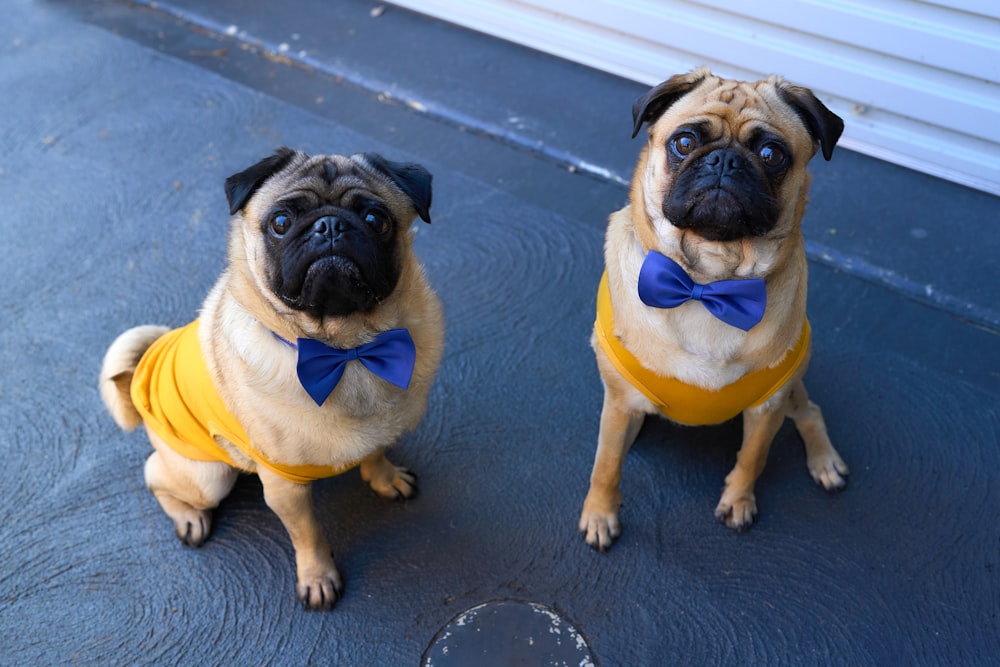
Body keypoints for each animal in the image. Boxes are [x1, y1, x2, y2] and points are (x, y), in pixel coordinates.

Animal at [100, 150, 442, 612]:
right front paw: (317, 578)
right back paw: (189, 518)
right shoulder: (284, 487)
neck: (345, 351)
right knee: (155, 474)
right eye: (280, 222)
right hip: (209, 478)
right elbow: (308, 534)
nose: (330, 225)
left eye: (376, 219)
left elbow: (375, 451)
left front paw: (384, 477)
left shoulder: (382, 426)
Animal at [580, 68, 852, 552]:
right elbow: (606, 465)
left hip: (793, 388)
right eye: (684, 143)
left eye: (771, 154)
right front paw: (599, 514)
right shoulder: (618, 404)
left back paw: (825, 462)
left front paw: (738, 501)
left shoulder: (767, 408)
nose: (725, 161)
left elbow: (752, 458)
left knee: (810, 411)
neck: (707, 283)